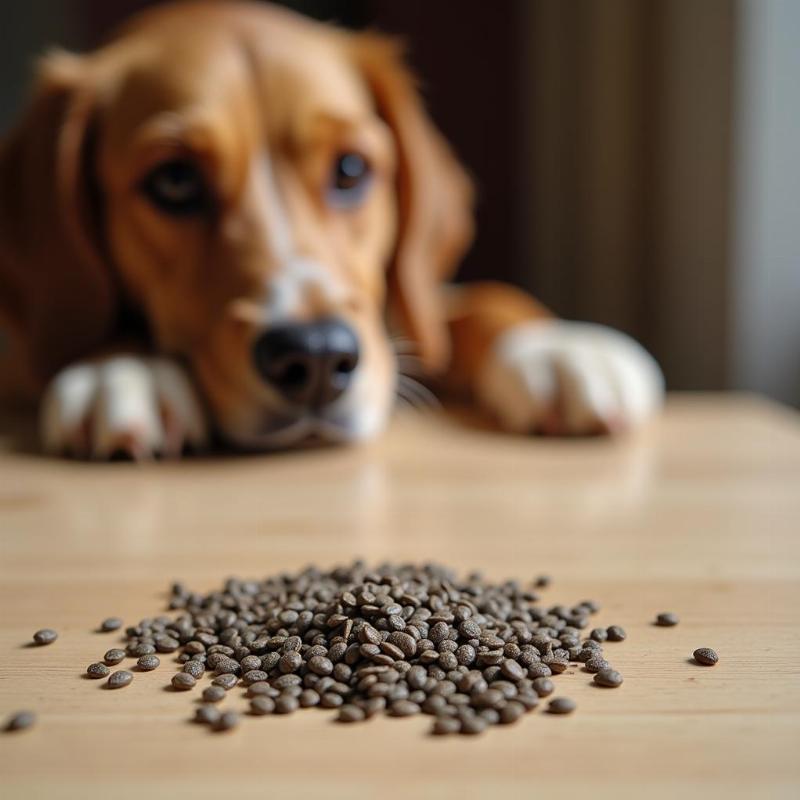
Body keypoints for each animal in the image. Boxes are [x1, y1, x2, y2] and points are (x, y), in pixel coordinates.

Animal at [0, 0, 664, 460]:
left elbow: (470, 303)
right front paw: (121, 366)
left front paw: (553, 346)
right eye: (175, 181)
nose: (316, 357)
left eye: (351, 169)